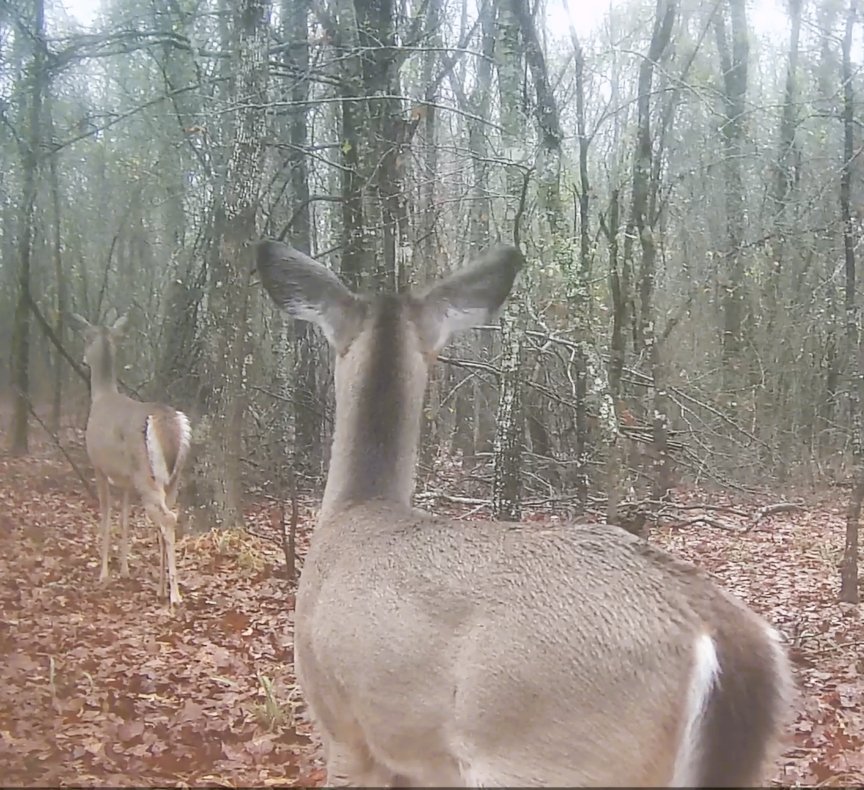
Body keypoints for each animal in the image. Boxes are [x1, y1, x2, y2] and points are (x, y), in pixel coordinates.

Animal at [70, 313, 190, 607]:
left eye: (86, 338)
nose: (83, 358)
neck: (102, 395)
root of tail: (166, 420)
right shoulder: (124, 480)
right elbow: (124, 520)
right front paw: (124, 569)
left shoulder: (98, 466)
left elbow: (105, 517)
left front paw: (103, 573)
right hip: (172, 478)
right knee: (169, 518)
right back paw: (160, 588)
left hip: (145, 475)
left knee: (168, 519)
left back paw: (175, 595)